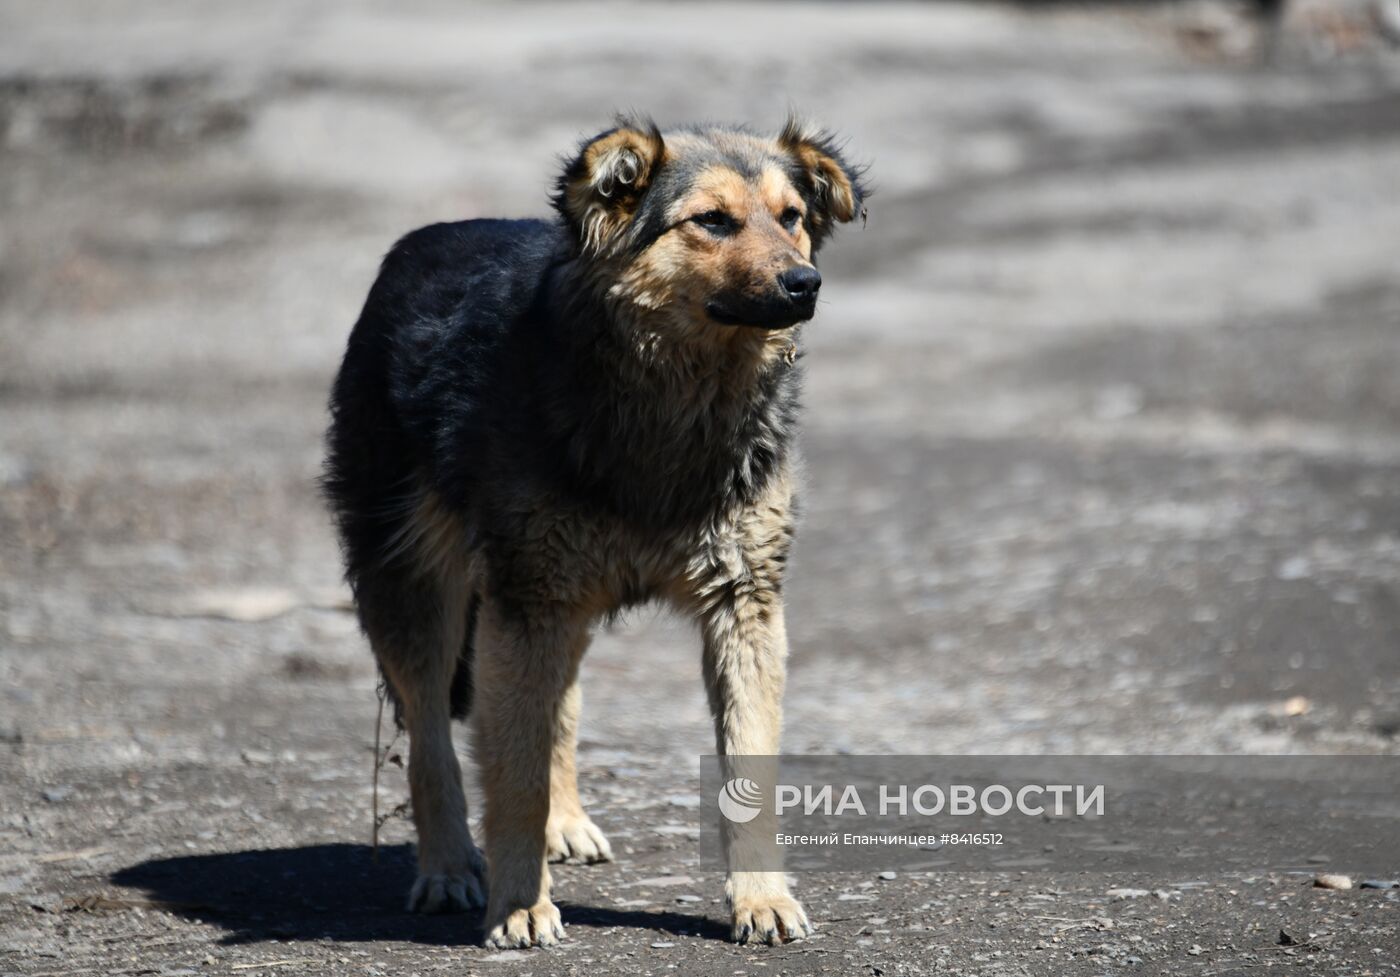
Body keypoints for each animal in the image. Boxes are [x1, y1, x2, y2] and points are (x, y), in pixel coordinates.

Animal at [324, 114, 862, 946]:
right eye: (712, 221)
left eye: (792, 217)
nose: (806, 284)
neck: (672, 405)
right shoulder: (526, 601)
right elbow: (510, 776)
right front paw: (519, 904)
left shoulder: (744, 604)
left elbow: (746, 766)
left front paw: (762, 897)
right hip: (418, 589)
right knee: (432, 736)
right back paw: (447, 865)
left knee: (554, 710)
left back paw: (564, 822)